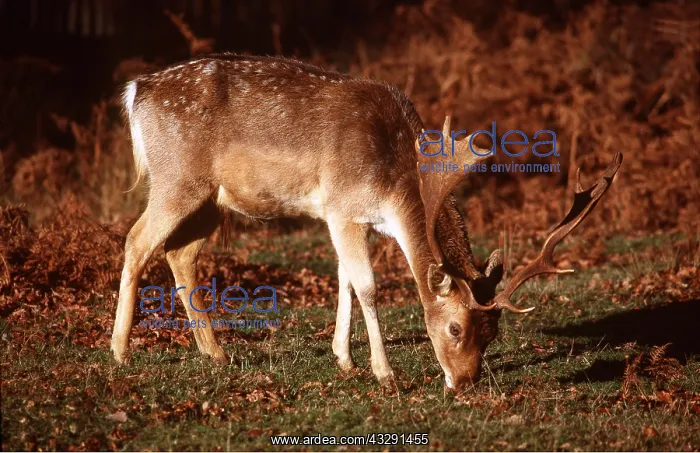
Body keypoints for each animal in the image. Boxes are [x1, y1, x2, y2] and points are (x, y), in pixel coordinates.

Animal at [112, 54, 622, 391]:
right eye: (455, 329)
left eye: (493, 331)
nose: (464, 382)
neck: (396, 181)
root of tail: (136, 91)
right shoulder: (341, 207)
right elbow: (368, 286)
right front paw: (385, 374)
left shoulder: (350, 218)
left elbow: (343, 281)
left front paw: (344, 359)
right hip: (177, 179)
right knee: (136, 240)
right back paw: (119, 351)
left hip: (211, 199)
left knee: (179, 252)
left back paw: (215, 353)